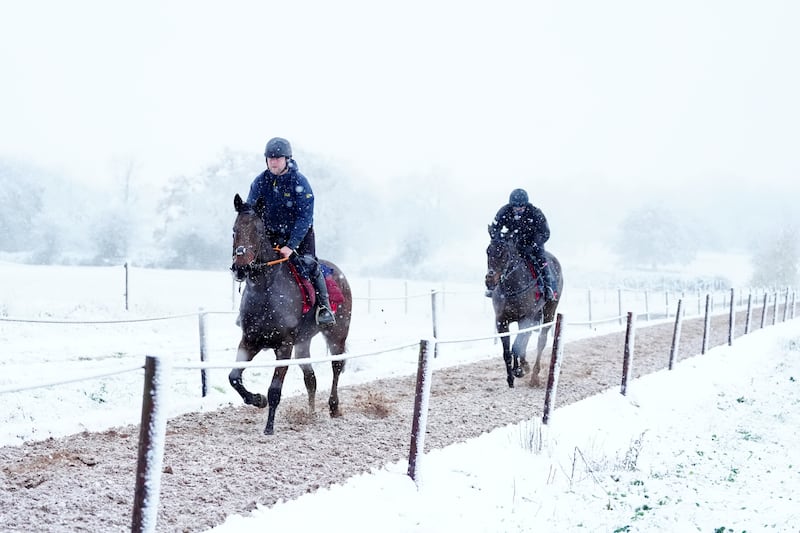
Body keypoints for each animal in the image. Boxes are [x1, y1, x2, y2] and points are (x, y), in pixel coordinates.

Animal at [225, 193, 350, 434]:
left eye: (258, 231)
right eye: (234, 230)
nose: (241, 268)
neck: (265, 291)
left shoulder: (284, 346)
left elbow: (275, 389)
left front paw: (269, 427)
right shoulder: (249, 341)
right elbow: (234, 377)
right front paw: (257, 399)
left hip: (337, 335)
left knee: (336, 367)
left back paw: (334, 407)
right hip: (303, 344)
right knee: (310, 377)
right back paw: (311, 414)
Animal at [482, 233, 564, 386]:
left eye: (505, 254)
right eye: (488, 251)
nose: (490, 279)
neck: (512, 288)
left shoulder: (525, 318)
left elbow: (517, 345)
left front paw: (518, 370)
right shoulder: (501, 321)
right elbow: (507, 351)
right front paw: (511, 377)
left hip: (549, 310)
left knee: (541, 340)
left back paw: (534, 376)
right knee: (528, 337)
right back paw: (525, 364)